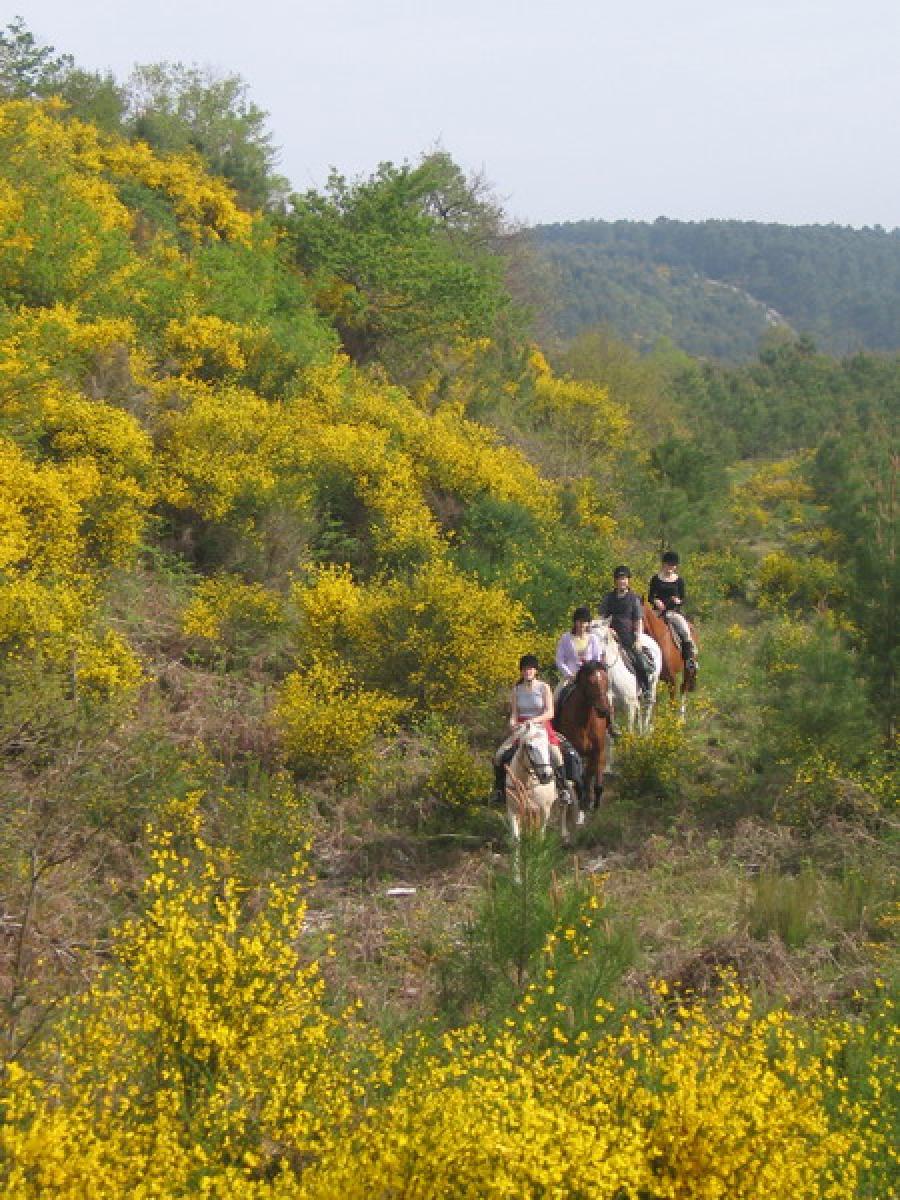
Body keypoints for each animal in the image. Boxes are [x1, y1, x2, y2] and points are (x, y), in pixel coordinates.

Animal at [556, 657, 614, 816]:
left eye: (606, 680)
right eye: (591, 682)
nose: (604, 710)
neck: (585, 721)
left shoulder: (598, 751)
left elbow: (593, 778)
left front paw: (593, 804)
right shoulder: (575, 752)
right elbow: (579, 781)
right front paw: (581, 802)